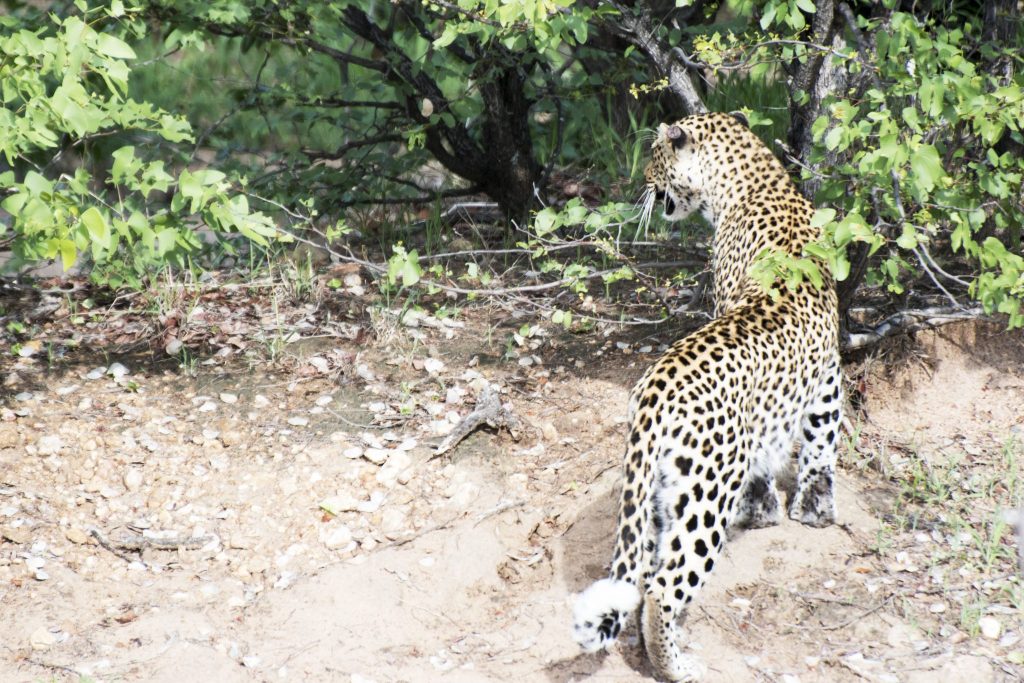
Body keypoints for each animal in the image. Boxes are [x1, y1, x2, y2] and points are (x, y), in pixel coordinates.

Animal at [569, 109, 839, 679]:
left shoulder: (822, 372)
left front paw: (794, 506)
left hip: (674, 488)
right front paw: (796, 508)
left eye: (654, 155)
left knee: (649, 575)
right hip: (702, 489)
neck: (757, 180)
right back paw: (676, 666)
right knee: (660, 586)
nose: (642, 181)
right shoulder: (826, 372)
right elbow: (818, 439)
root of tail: (656, 386)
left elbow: (809, 446)